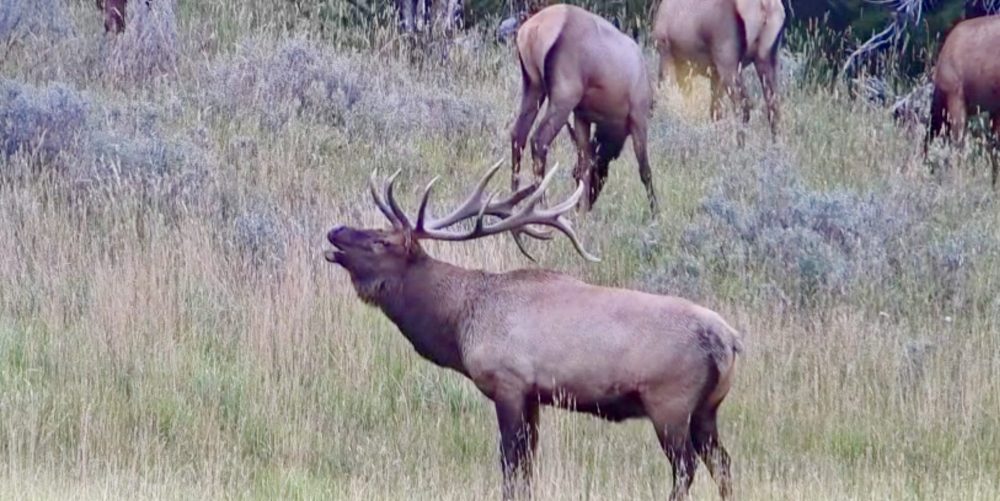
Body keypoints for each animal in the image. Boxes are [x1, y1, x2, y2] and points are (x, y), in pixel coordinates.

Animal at [324, 162, 743, 501]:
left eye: (381, 241)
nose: (335, 231)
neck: (460, 324)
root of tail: (729, 341)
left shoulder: (508, 383)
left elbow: (511, 464)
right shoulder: (535, 396)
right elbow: (527, 466)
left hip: (669, 402)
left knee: (685, 468)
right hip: (707, 408)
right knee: (722, 463)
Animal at [510, 4, 658, 214]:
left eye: (574, 174)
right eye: (601, 174)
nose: (583, 205)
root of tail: (531, 31)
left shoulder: (581, 116)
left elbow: (585, 161)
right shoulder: (639, 116)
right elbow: (645, 170)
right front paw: (656, 212)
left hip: (533, 85)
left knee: (518, 134)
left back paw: (513, 198)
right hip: (564, 95)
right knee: (538, 140)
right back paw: (542, 205)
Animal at [652, 0, 785, 137]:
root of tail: (765, 5)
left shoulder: (665, 51)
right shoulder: (713, 73)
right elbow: (715, 111)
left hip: (727, 59)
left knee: (743, 104)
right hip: (767, 59)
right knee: (774, 106)